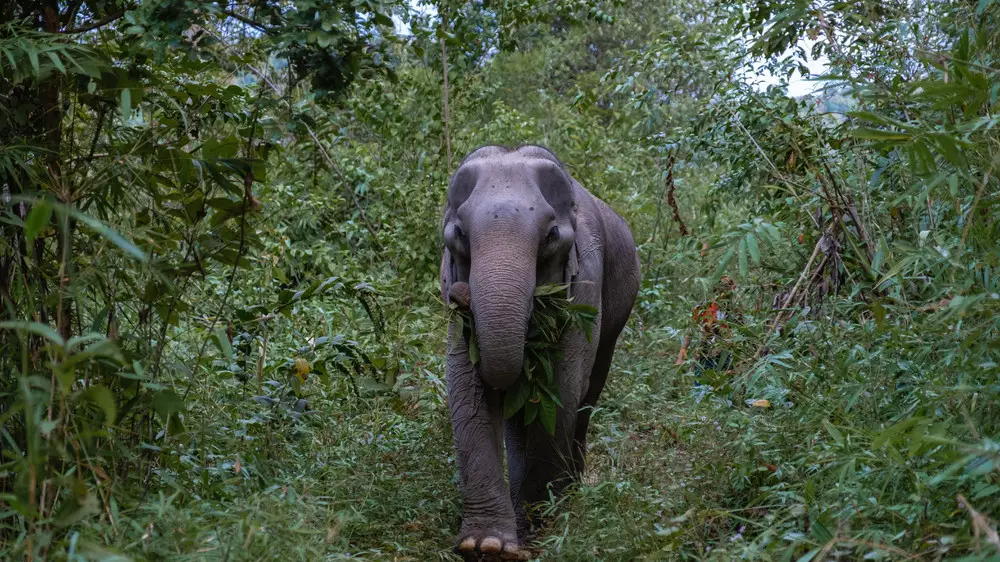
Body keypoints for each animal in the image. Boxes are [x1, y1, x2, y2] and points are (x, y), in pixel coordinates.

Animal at [438, 143, 640, 556]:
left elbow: (561, 388)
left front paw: (536, 532)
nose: (462, 295)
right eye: (459, 234)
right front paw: (486, 545)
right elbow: (466, 388)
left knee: (587, 396)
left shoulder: (587, 283)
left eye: (551, 235)